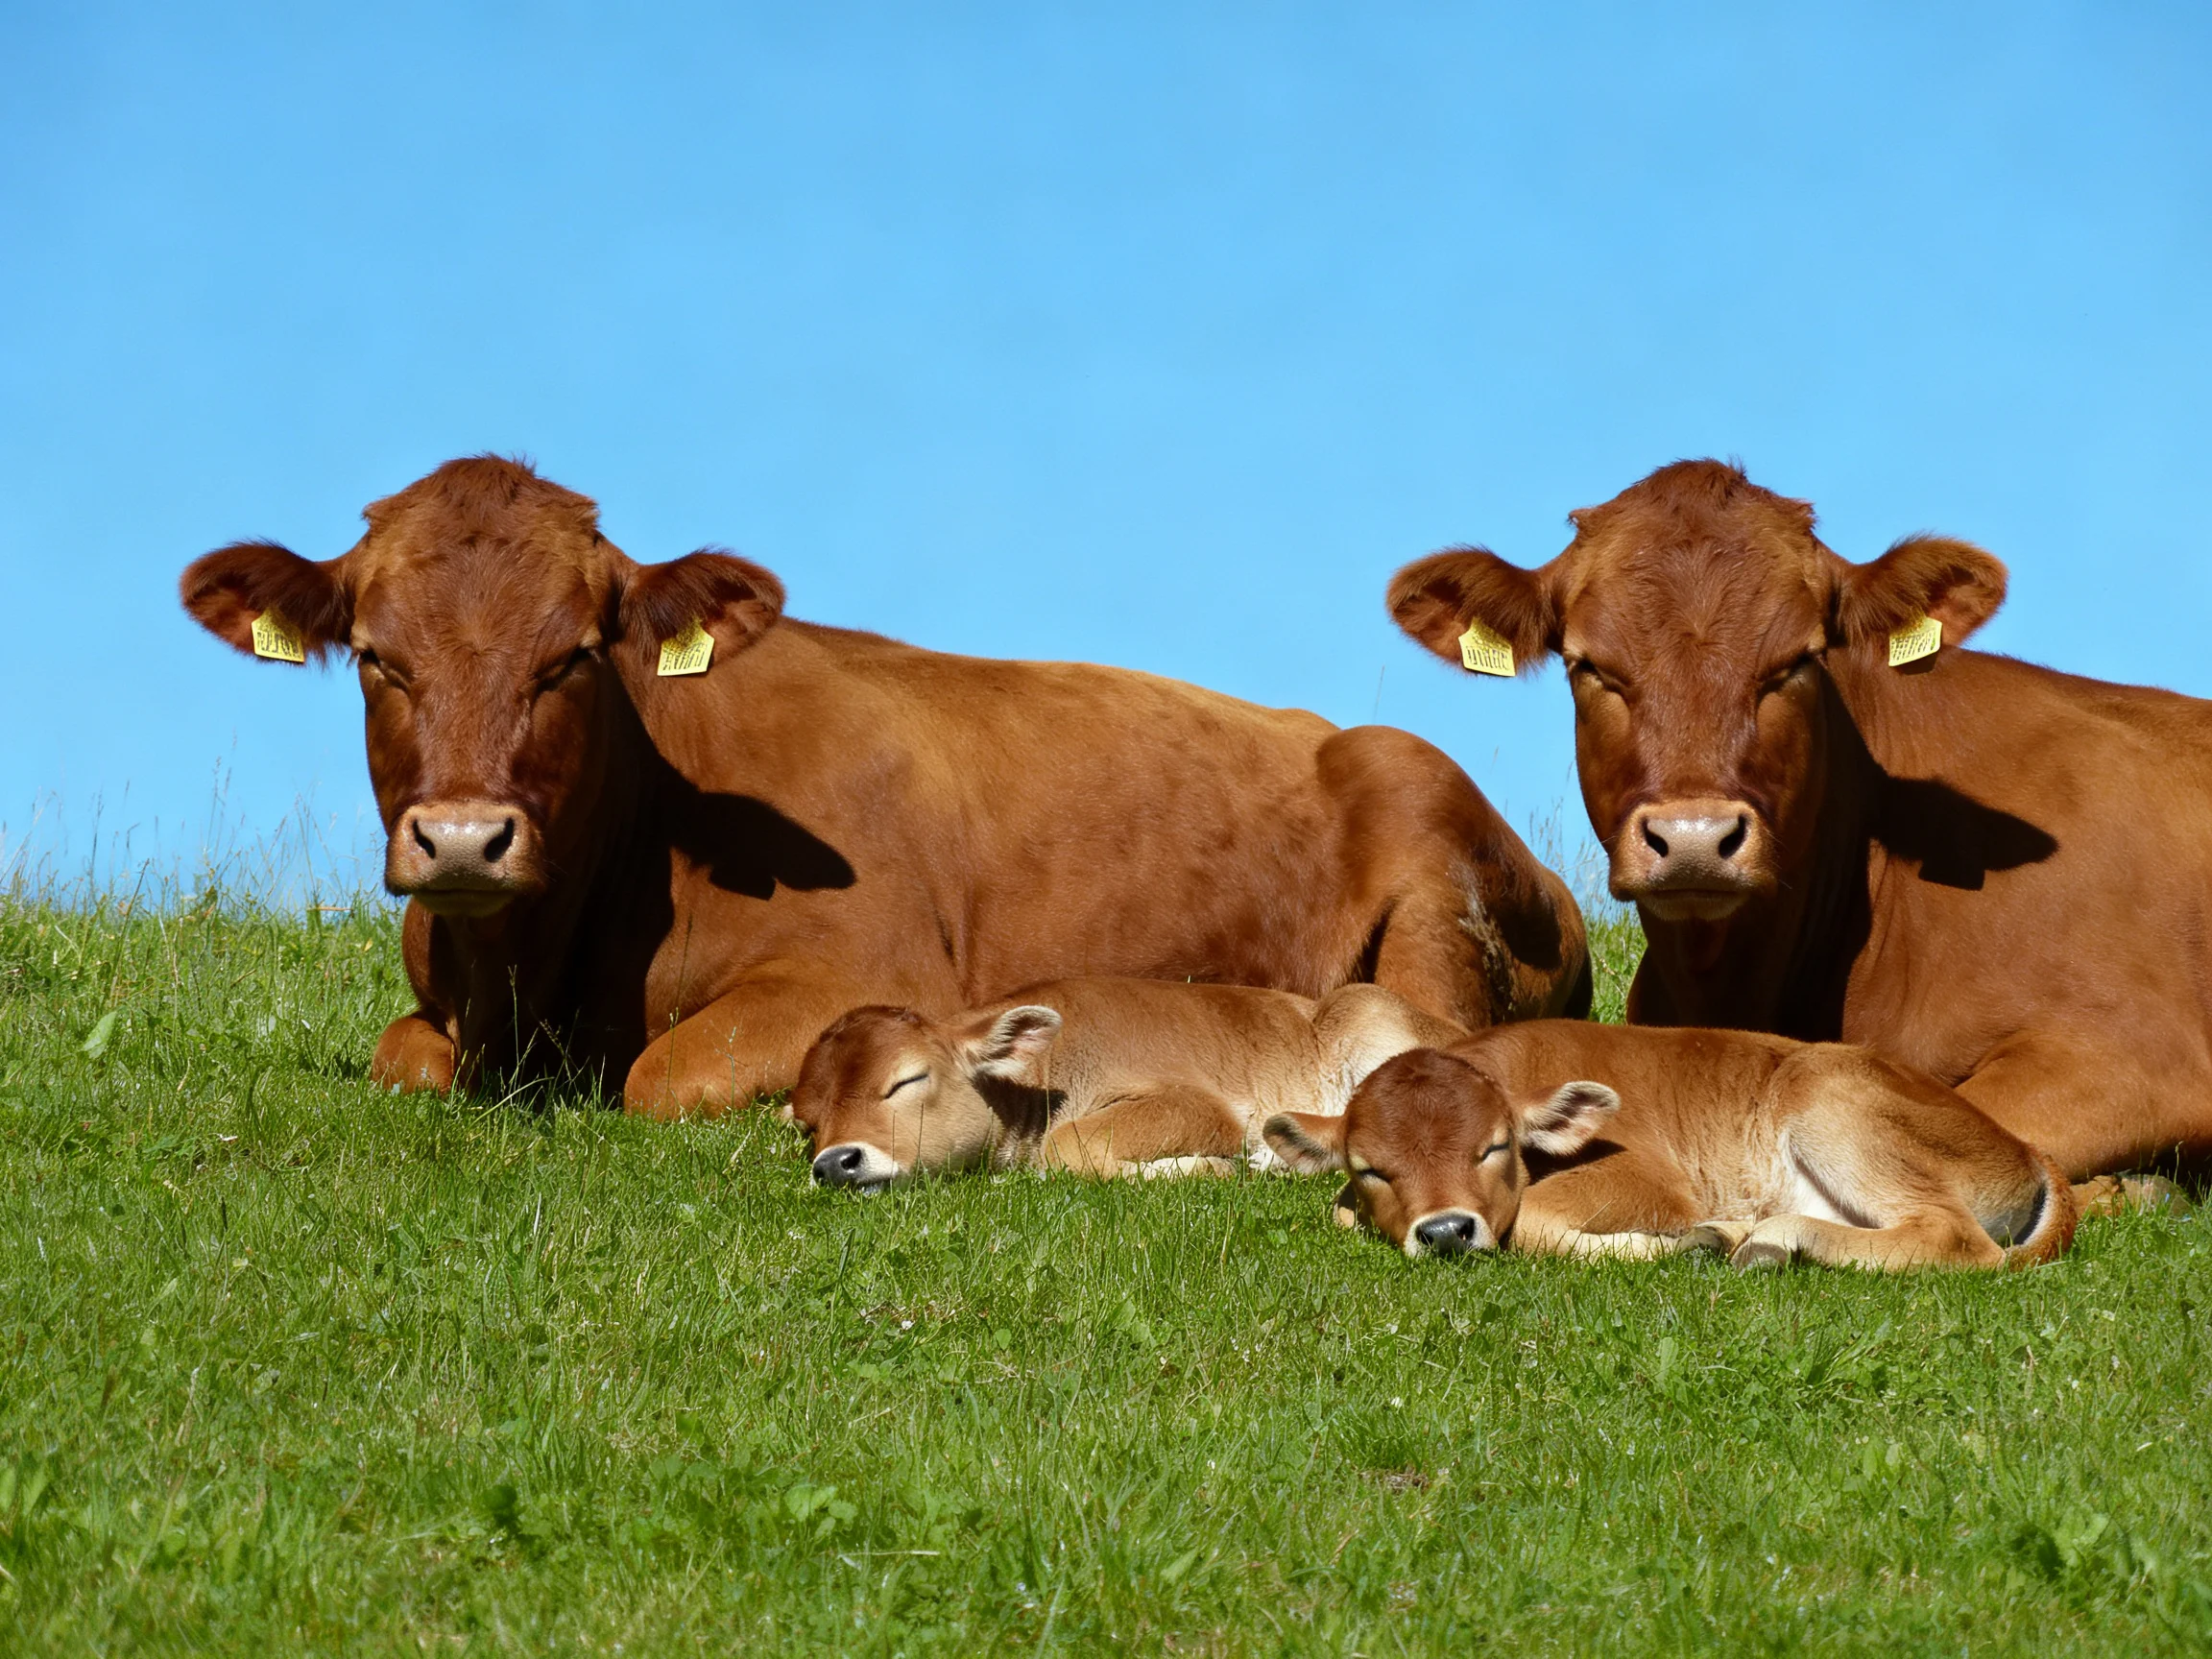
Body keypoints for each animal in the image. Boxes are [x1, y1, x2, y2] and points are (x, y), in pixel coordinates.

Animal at [179, 456, 1588, 1117]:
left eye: (572, 655)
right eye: (378, 657)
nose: (465, 840)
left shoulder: (858, 976)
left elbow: (662, 1076)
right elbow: (397, 1057)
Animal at [792, 979, 1465, 1189]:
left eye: (906, 1079)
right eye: (807, 1121)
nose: (835, 1162)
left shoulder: (1201, 1103)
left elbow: (1069, 1147)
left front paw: (1212, 1166)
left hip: (1371, 1017)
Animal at [1262, 1023, 2078, 1270]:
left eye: (1493, 1147)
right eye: (1371, 1168)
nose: (1445, 1231)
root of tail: (2026, 1149)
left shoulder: (1651, 1184)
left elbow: (1533, 1224)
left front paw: (1693, 1241)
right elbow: (1339, 1211)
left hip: (1829, 1096)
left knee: (1955, 1238)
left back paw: (1767, 1238)